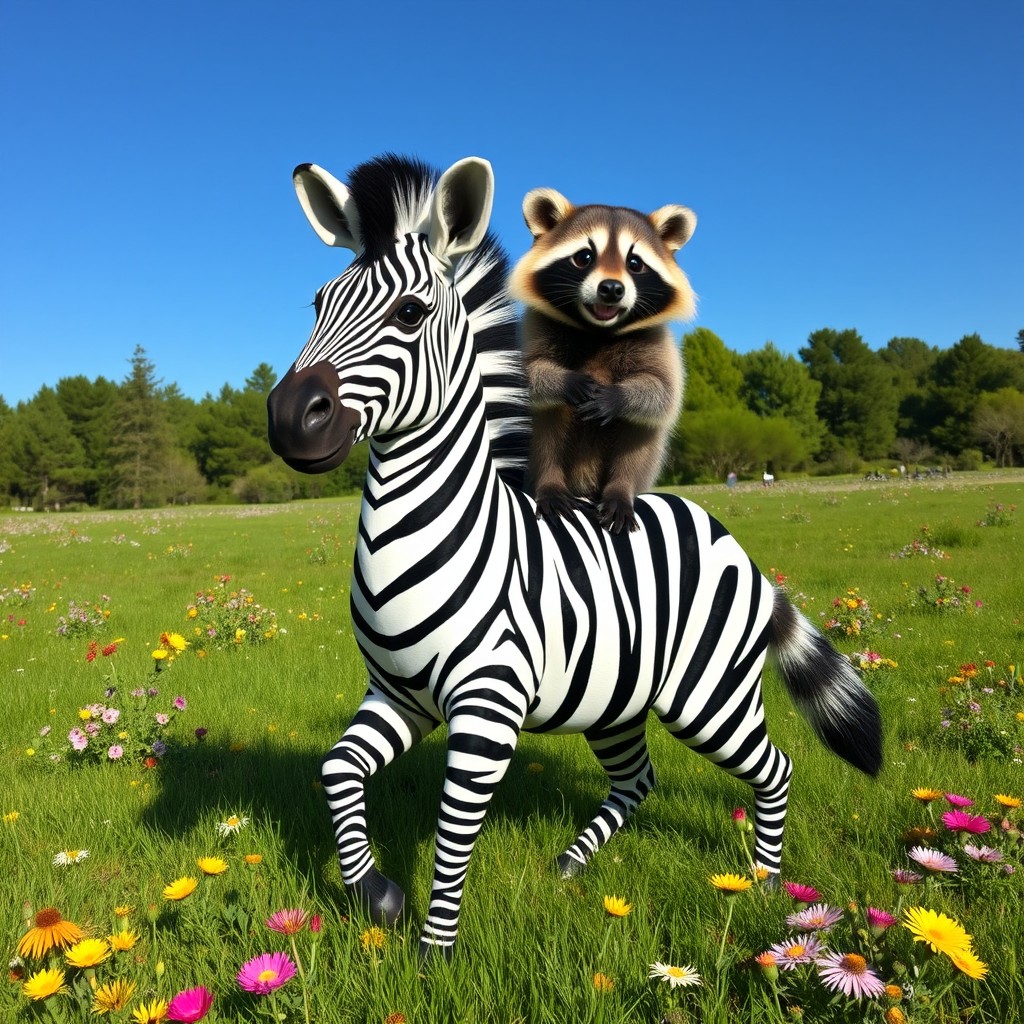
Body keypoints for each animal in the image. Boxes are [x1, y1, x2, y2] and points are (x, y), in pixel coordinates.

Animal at [509, 188, 697, 533]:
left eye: (634, 263)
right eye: (584, 257)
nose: (611, 288)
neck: (597, 330)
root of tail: (583, 485)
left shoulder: (658, 342)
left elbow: (663, 394)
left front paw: (615, 396)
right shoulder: (532, 326)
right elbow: (524, 376)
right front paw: (568, 381)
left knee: (639, 433)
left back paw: (620, 491)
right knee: (545, 422)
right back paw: (549, 484)